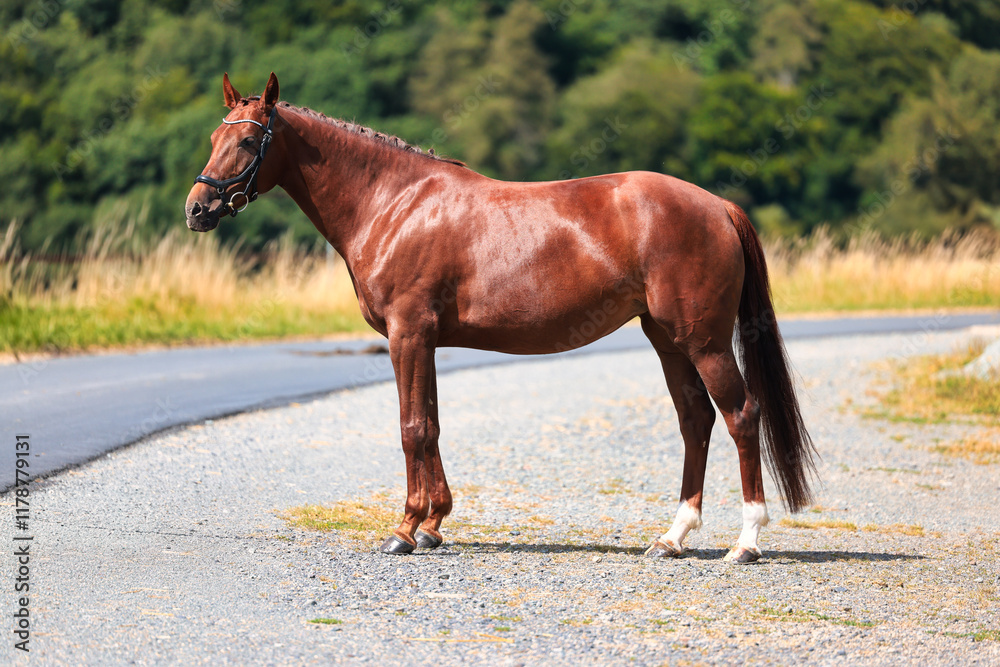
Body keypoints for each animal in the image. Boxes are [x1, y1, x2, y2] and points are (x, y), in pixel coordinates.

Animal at [185, 73, 816, 563]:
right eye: (215, 135)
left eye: (249, 140)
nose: (197, 208)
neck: (395, 203)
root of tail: (718, 206)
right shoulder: (426, 340)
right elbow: (432, 425)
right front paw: (433, 526)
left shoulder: (408, 334)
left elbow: (411, 428)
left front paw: (404, 531)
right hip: (667, 339)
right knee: (695, 420)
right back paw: (672, 537)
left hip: (703, 341)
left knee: (740, 415)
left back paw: (747, 542)